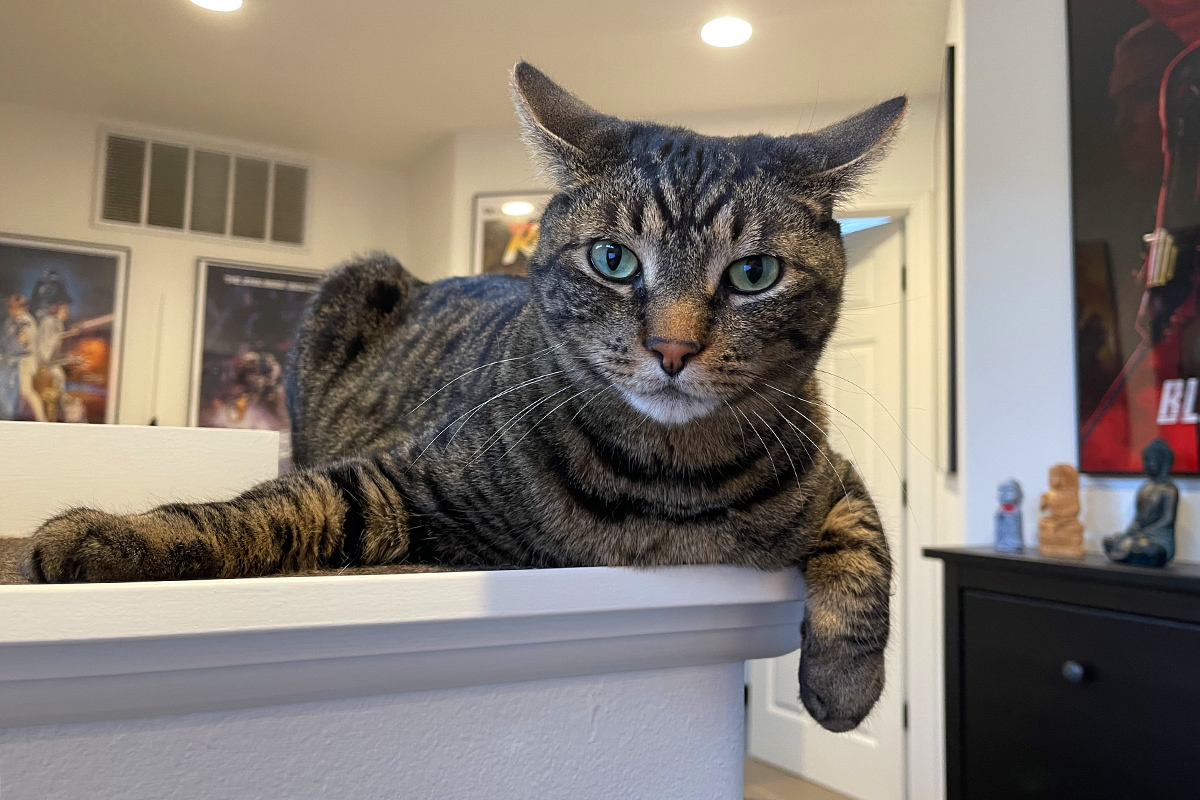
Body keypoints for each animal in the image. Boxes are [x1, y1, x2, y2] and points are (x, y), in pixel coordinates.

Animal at [21, 62, 902, 734]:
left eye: (755, 273)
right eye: (614, 260)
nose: (673, 350)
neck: (663, 485)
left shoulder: (830, 466)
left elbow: (866, 540)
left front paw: (845, 685)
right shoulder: (398, 479)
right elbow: (273, 508)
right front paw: (112, 536)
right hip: (353, 284)